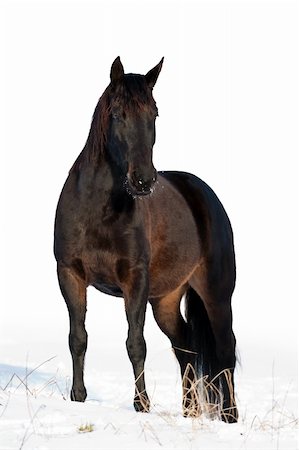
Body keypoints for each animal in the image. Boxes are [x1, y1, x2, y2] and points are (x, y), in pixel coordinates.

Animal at [54, 57, 239, 422]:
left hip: (217, 293)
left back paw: (230, 417)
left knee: (225, 351)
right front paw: (78, 398)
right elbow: (77, 337)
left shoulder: (134, 278)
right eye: (117, 114)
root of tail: (204, 194)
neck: (98, 208)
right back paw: (189, 412)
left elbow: (135, 343)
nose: (143, 180)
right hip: (166, 299)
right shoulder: (69, 274)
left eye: (154, 114)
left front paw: (142, 405)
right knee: (185, 346)